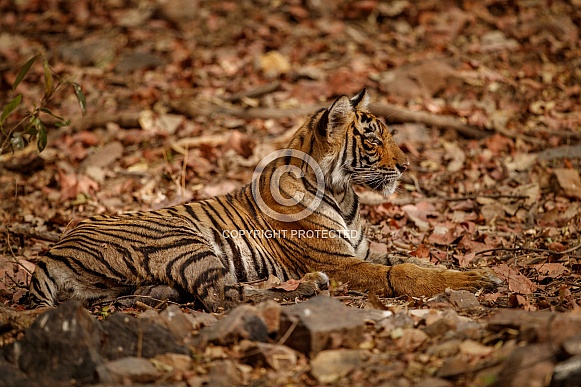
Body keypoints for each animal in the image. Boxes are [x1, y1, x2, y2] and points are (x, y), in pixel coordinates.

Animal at [28, 88, 498, 312]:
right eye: (371, 139)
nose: (406, 165)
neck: (343, 193)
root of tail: (51, 251)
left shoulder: (362, 252)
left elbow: (415, 262)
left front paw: (473, 272)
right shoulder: (339, 262)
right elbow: (403, 273)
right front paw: (478, 281)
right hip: (181, 241)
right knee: (223, 297)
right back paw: (308, 288)